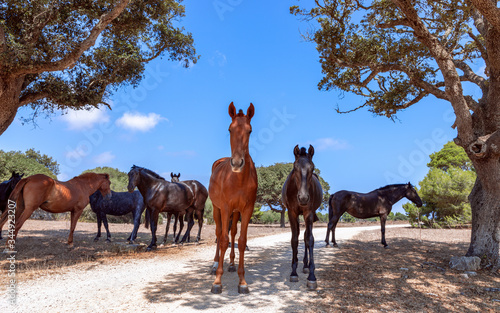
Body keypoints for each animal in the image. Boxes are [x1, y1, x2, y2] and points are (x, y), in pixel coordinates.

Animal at [210, 102, 258, 292]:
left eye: (250, 130)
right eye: (230, 129)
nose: (237, 163)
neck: (238, 179)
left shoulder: (246, 209)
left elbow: (241, 240)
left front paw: (242, 282)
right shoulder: (225, 207)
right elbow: (222, 240)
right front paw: (217, 282)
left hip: (235, 212)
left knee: (232, 233)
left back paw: (230, 264)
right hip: (216, 209)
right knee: (219, 233)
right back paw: (215, 264)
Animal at [282, 145, 324, 288]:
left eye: (312, 168)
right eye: (295, 167)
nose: (304, 198)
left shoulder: (308, 213)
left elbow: (310, 239)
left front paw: (312, 276)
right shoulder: (292, 213)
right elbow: (294, 240)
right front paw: (293, 272)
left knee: (306, 236)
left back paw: (306, 265)